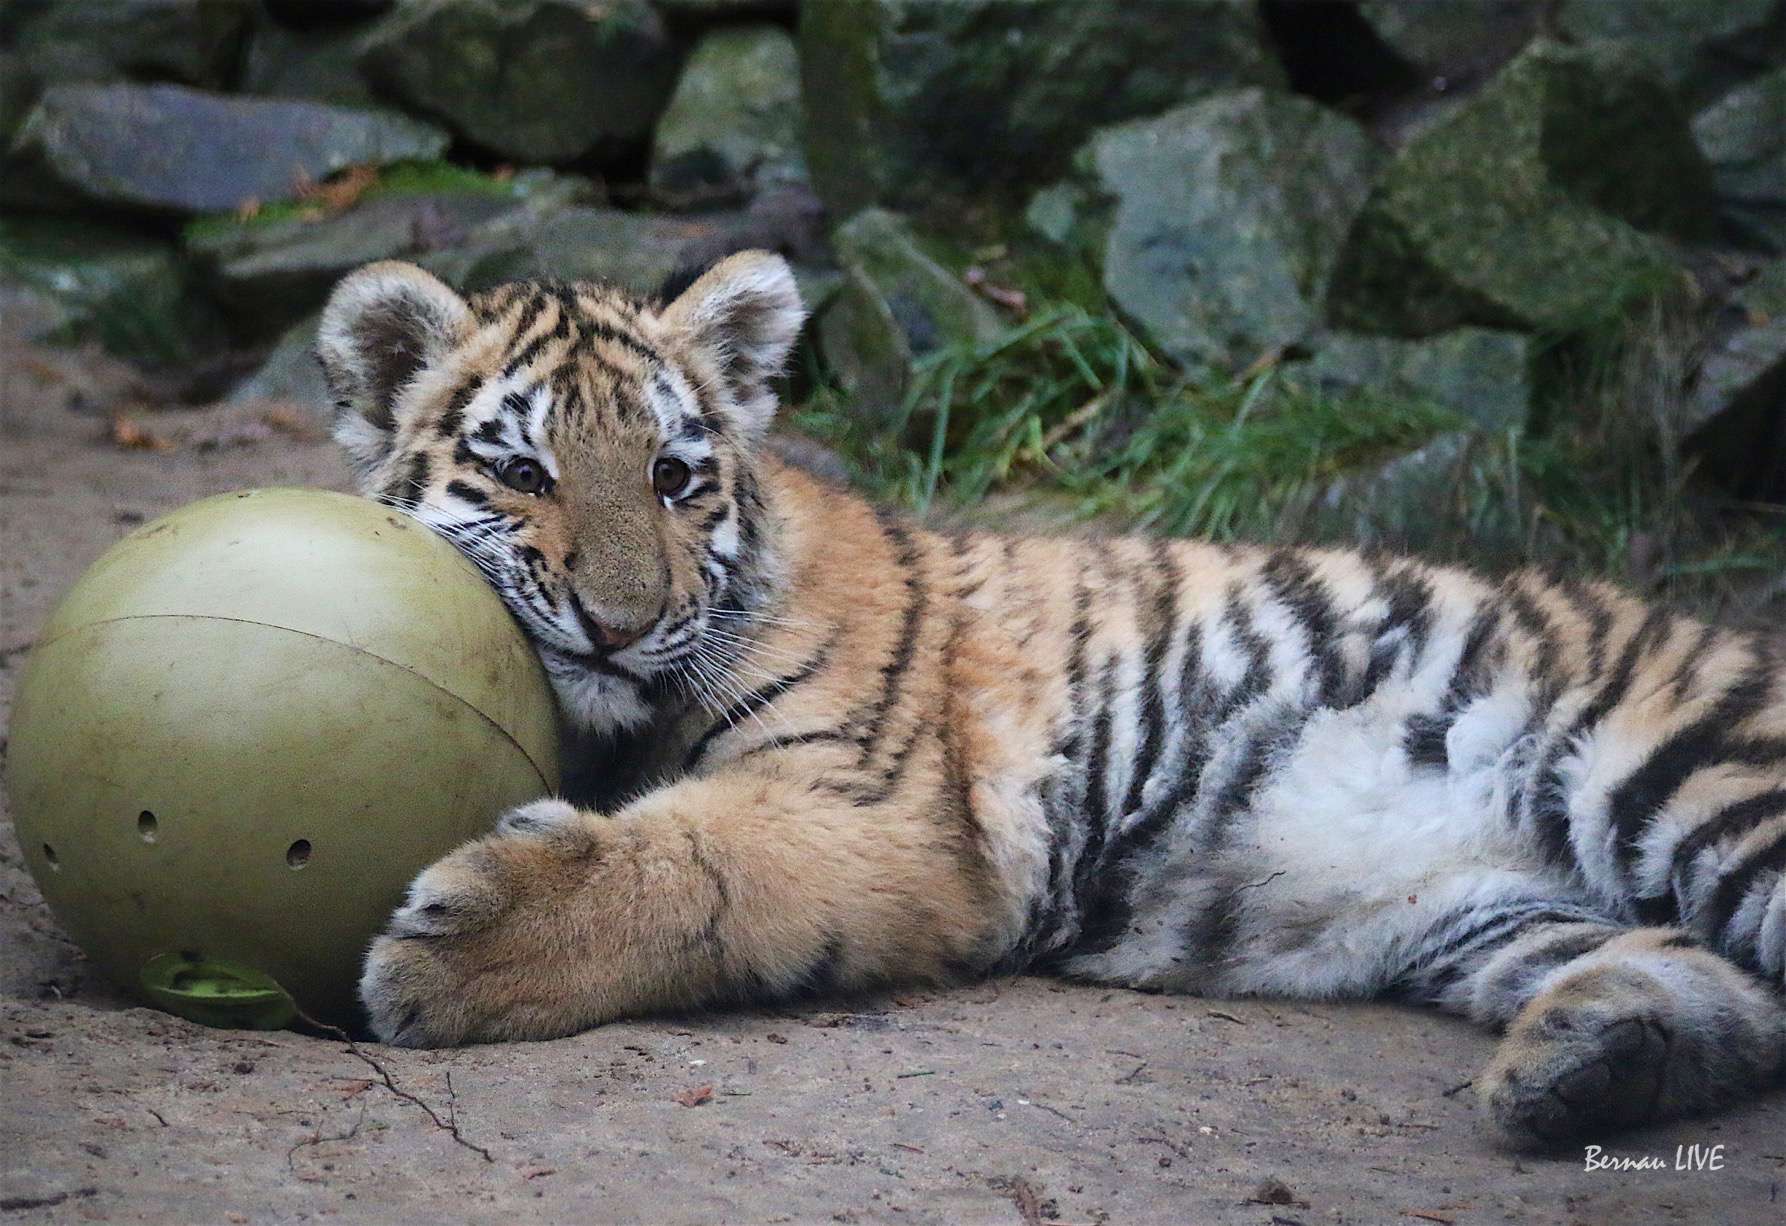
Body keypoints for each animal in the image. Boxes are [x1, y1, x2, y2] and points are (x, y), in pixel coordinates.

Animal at [315, 251, 1786, 1149]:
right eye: (525, 473)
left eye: (675, 479)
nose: (618, 627)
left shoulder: (885, 813)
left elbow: (690, 865)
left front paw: (458, 948)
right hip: (1488, 908)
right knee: (1727, 996)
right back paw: (1578, 1063)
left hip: (1695, 779)